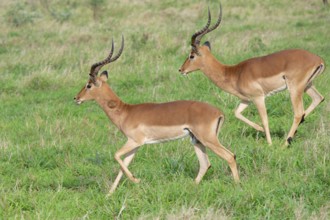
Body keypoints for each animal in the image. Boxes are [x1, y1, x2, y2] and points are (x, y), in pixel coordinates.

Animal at [74, 36, 240, 196]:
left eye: (88, 85)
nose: (76, 98)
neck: (126, 112)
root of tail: (219, 112)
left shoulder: (134, 141)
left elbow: (116, 155)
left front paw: (136, 180)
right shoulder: (135, 145)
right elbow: (123, 165)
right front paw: (109, 194)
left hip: (208, 139)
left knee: (229, 156)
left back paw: (237, 186)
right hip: (197, 140)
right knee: (206, 164)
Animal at [178, 3, 324, 146]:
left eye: (191, 55)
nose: (181, 70)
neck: (233, 73)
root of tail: (318, 60)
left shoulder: (258, 97)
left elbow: (264, 119)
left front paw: (269, 144)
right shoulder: (246, 100)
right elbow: (236, 113)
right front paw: (260, 130)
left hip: (294, 88)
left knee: (299, 112)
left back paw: (285, 143)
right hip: (307, 85)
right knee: (318, 99)